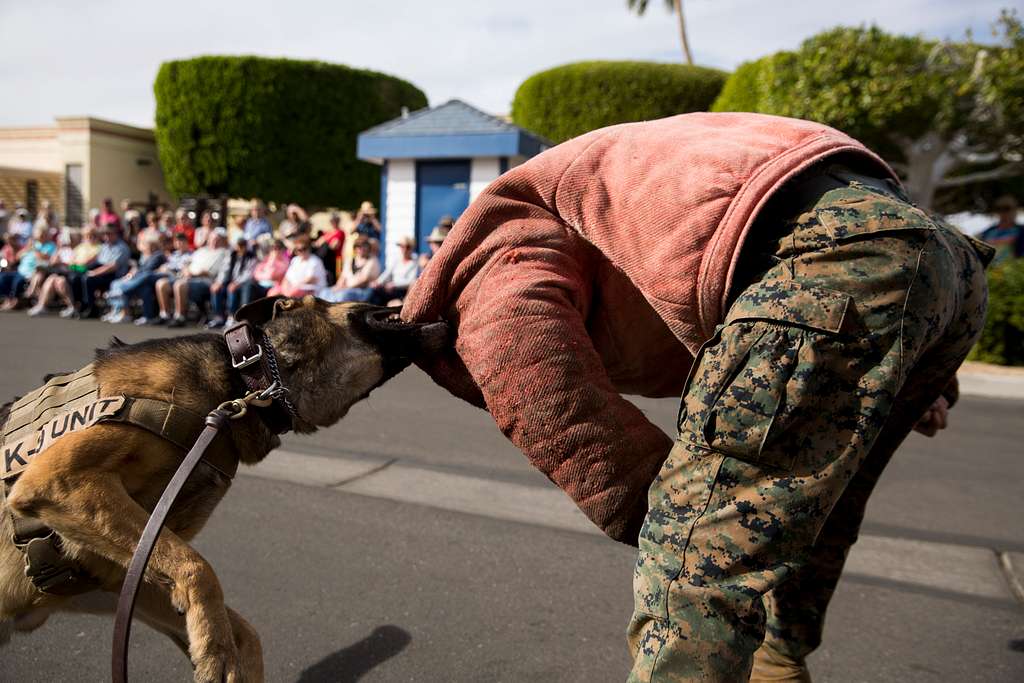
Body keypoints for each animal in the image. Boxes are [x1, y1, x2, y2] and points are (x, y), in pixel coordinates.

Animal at [1, 299, 448, 683]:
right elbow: (198, 568)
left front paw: (216, 649)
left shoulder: (124, 571)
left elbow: (245, 633)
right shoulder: (61, 479)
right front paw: (215, 647)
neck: (246, 379)